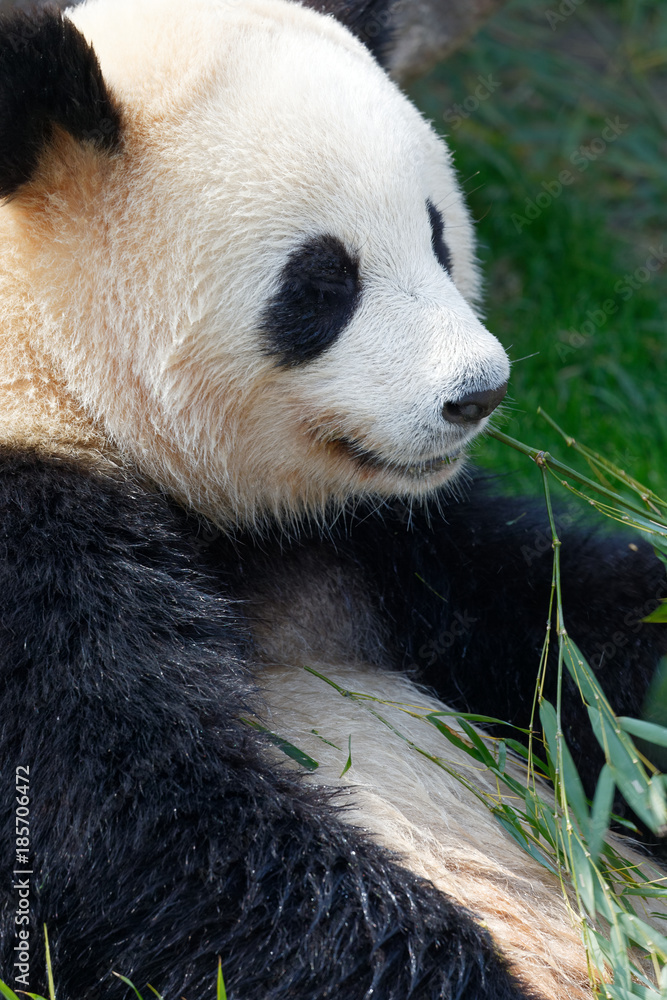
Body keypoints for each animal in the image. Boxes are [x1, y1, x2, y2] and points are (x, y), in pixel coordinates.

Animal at [0, 0, 665, 998]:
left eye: (438, 235)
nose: (477, 394)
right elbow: (144, 836)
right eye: (322, 282)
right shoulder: (28, 543)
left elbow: (574, 630)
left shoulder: (387, 531)